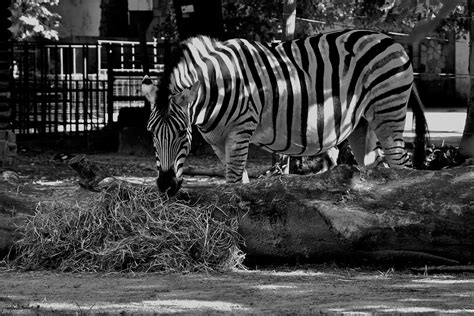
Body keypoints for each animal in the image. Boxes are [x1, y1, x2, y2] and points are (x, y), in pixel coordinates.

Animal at [143, 29, 428, 196]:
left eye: (182, 133)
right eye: (151, 134)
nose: (166, 186)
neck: (219, 87)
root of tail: (390, 40)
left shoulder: (241, 129)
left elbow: (233, 181)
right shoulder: (218, 142)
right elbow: (239, 180)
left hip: (388, 110)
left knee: (401, 164)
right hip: (362, 125)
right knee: (376, 166)